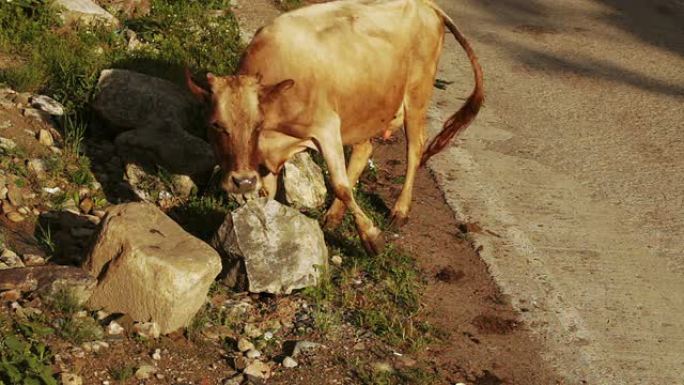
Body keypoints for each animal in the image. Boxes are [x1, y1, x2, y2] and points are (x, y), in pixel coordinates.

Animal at [184, 0, 484, 255]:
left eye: (257, 124)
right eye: (216, 125)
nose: (242, 181)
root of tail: (427, 5)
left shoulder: (327, 126)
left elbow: (339, 185)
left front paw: (372, 237)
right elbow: (267, 192)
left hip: (416, 95)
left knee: (415, 150)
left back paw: (400, 210)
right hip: (363, 109)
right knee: (365, 149)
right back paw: (334, 215)